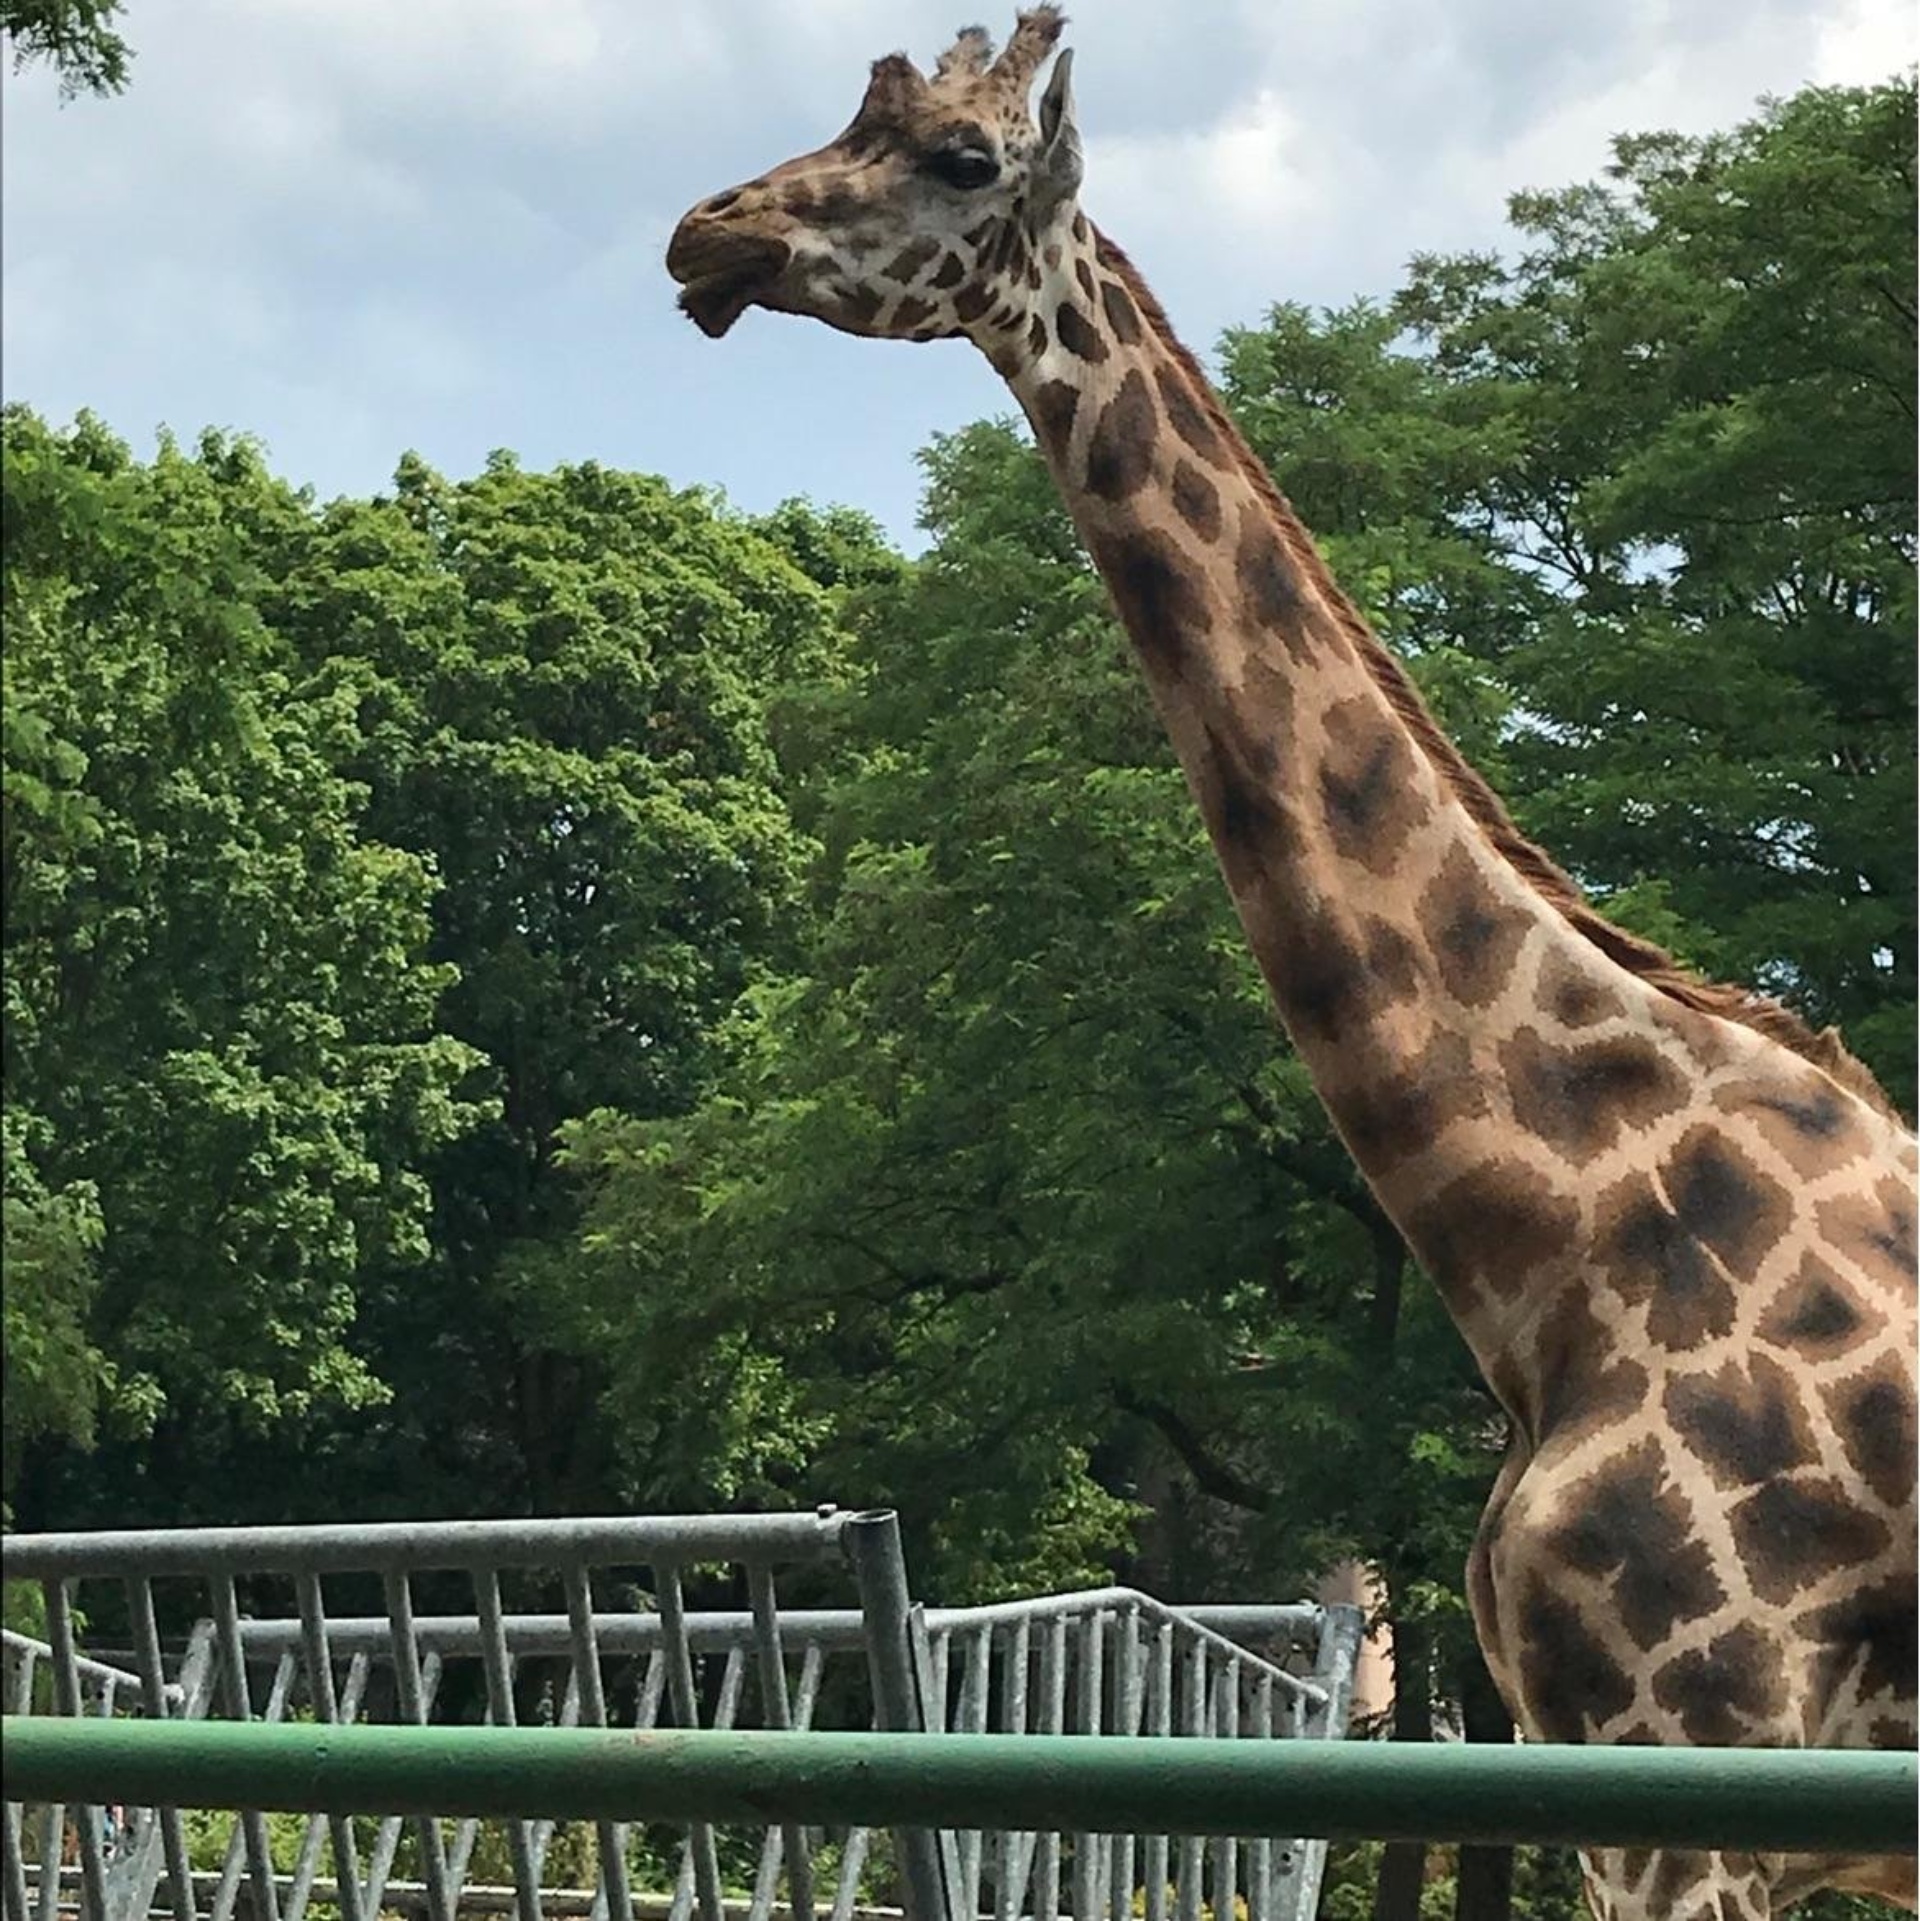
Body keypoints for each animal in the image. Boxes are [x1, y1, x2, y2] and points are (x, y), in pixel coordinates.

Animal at [668, 11, 1914, 1905]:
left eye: (960, 158)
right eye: (845, 111)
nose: (703, 235)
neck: (1564, 1224)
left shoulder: (1696, 1782)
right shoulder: (1615, 1777)